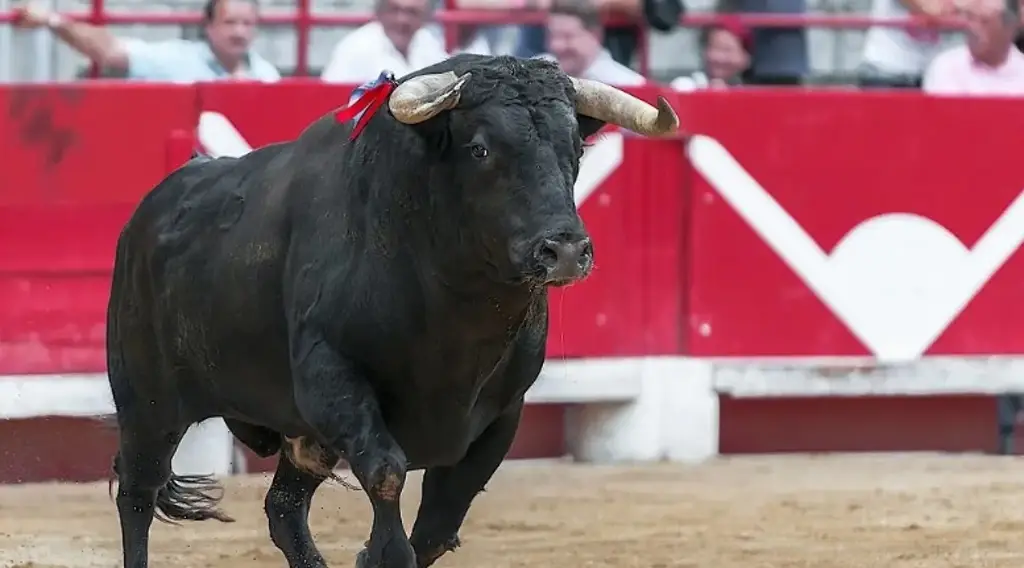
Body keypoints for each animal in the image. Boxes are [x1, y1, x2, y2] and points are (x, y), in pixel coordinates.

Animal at [108, 53, 679, 568]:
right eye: (480, 148)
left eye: (575, 149)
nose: (564, 249)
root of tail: (150, 210)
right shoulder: (333, 380)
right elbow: (387, 474)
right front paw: (380, 552)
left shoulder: (502, 415)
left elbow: (438, 527)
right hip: (148, 402)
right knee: (137, 493)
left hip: (302, 437)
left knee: (284, 508)